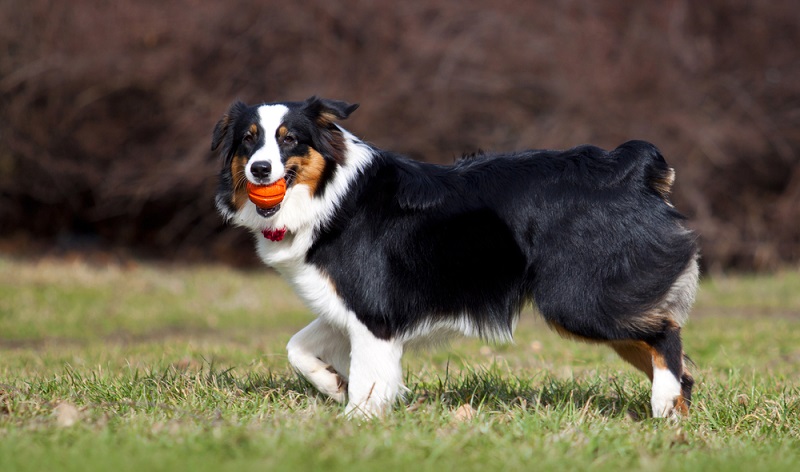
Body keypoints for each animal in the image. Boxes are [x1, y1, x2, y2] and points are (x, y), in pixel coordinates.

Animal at [212, 95, 700, 416]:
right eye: (248, 141)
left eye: (290, 139)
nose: (260, 169)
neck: (329, 194)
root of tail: (631, 168)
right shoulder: (349, 306)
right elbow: (297, 348)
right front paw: (332, 385)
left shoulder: (374, 311)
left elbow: (370, 378)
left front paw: (355, 420)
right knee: (672, 355)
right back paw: (674, 413)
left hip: (578, 299)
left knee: (666, 334)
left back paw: (663, 402)